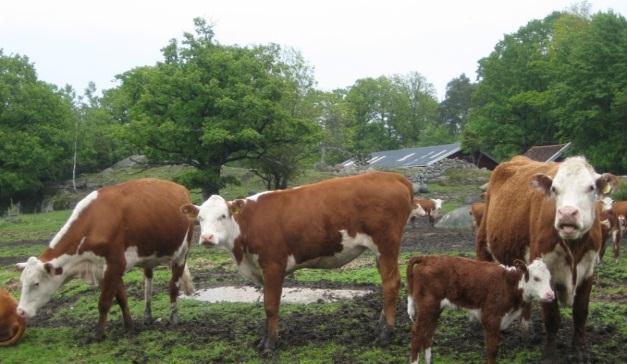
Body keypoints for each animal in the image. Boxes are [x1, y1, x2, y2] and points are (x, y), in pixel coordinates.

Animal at [16, 179, 194, 342]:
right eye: (22, 282)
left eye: (36, 283)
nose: (20, 311)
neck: (95, 222)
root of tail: (180, 188)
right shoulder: (103, 270)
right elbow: (122, 299)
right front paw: (129, 326)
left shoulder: (115, 265)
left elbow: (104, 303)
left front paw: (98, 334)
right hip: (148, 255)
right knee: (148, 285)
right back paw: (147, 315)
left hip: (181, 254)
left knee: (173, 286)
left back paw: (174, 317)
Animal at [182, 172, 418, 354]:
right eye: (200, 219)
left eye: (223, 216)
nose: (207, 238)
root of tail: (391, 176)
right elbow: (267, 307)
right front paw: (264, 339)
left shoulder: (273, 266)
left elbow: (271, 306)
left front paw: (269, 344)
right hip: (380, 252)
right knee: (387, 285)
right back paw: (380, 327)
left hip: (386, 245)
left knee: (392, 284)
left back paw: (385, 333)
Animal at [408, 256, 556, 364]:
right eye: (536, 278)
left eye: (550, 278)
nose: (551, 295)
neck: (508, 285)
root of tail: (428, 257)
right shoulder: (491, 318)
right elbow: (492, 350)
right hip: (427, 305)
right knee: (417, 334)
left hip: (435, 309)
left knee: (428, 334)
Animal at [476, 155, 620, 362]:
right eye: (554, 189)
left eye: (591, 187)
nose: (567, 213)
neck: (573, 246)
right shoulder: (546, 272)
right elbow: (551, 317)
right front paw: (550, 355)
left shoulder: (588, 270)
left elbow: (580, 312)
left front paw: (580, 351)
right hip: (483, 245)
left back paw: (527, 331)